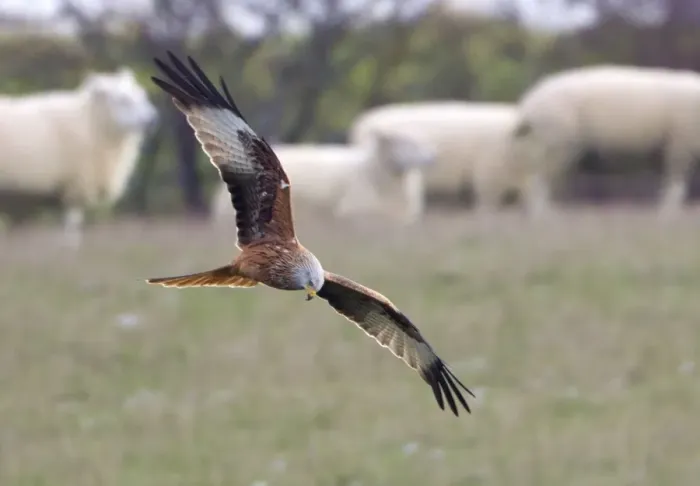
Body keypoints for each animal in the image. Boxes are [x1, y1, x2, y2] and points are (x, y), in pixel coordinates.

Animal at [0, 67, 158, 246]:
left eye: (142, 96)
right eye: (122, 100)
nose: (153, 120)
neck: (91, 122)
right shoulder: (76, 187)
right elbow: (72, 228)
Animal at [511, 65, 700, 217]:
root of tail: (528, 105)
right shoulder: (680, 147)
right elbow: (675, 187)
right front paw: (668, 217)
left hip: (549, 149)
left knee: (537, 185)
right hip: (555, 146)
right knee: (537, 184)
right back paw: (546, 219)